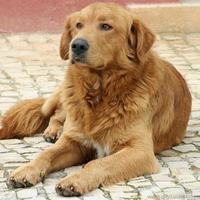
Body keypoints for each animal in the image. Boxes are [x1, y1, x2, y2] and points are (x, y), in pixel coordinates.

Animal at [0, 1, 191, 197]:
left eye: (106, 26)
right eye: (78, 25)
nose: (77, 45)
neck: (99, 90)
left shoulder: (140, 151)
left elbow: (98, 163)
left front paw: (74, 180)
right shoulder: (74, 141)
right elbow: (46, 154)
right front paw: (27, 170)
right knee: (55, 114)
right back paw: (53, 131)